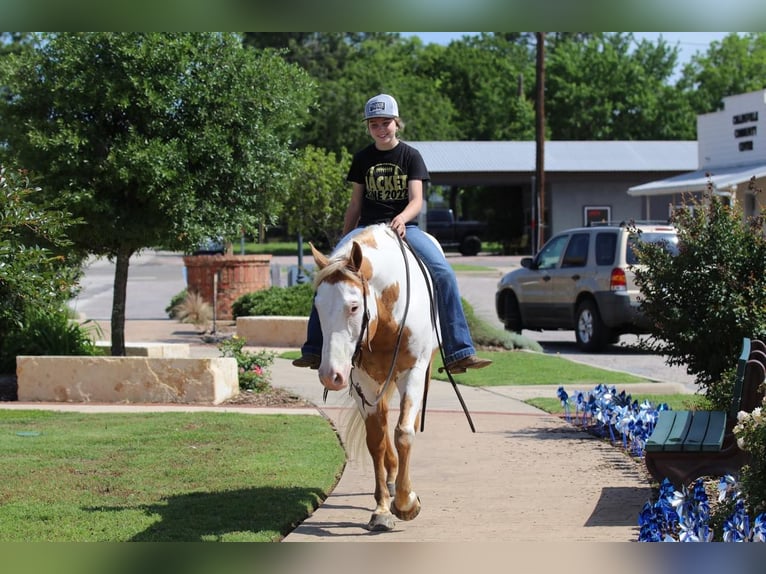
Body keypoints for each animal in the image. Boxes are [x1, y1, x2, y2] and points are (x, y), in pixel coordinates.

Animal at [308, 225, 438, 536]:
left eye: (354, 307)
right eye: (317, 307)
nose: (330, 375)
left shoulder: (413, 372)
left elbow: (404, 433)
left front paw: (405, 502)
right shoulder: (362, 381)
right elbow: (376, 439)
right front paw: (381, 510)